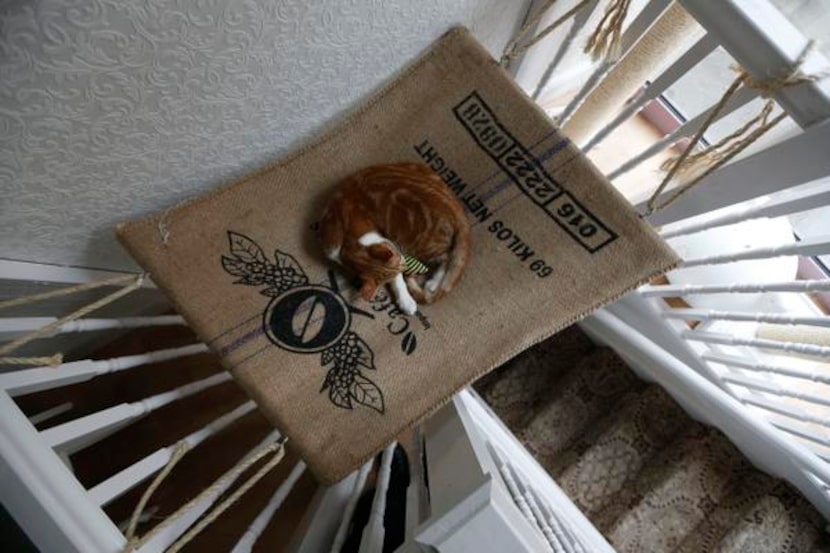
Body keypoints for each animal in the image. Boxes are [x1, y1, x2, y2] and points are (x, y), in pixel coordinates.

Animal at [320, 162, 472, 312]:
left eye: (399, 258)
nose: (404, 264)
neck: (346, 238)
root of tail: (454, 205)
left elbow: (397, 280)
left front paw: (406, 301)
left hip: (420, 243)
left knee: (447, 257)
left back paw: (433, 283)